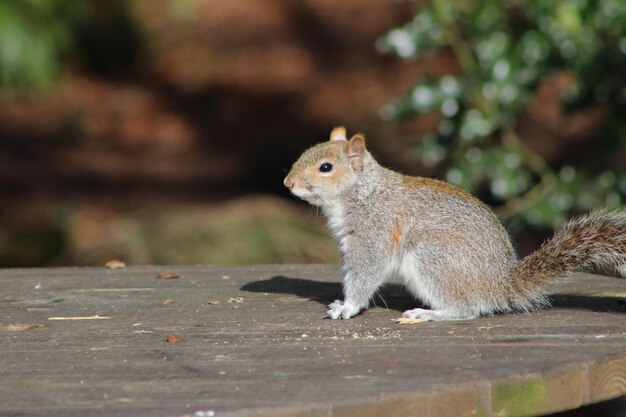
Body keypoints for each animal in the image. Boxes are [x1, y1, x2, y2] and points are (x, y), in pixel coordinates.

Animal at [282, 127, 624, 322]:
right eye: (305, 153)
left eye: (326, 168)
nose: (288, 183)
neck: (362, 192)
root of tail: (498, 284)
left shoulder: (373, 234)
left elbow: (365, 274)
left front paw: (348, 307)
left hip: (432, 256)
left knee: (468, 309)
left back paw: (428, 313)